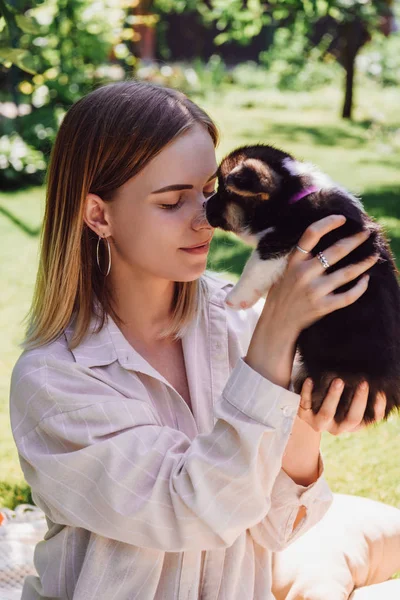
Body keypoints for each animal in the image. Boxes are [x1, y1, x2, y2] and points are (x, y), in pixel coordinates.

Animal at [206, 144, 400, 426]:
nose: (203, 204)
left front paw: (235, 297)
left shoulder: (282, 239)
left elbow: (256, 264)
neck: (293, 198)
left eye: (222, 191)